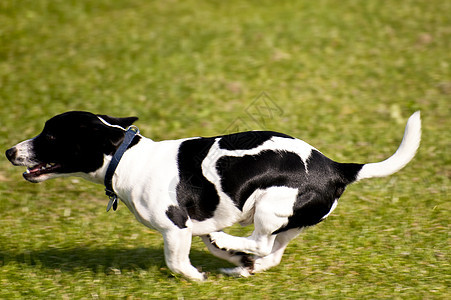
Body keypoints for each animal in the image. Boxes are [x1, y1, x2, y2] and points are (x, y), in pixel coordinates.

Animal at [5, 110, 422, 282]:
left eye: (51, 135)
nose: (9, 151)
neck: (126, 158)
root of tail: (336, 167)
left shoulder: (175, 228)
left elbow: (176, 262)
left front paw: (196, 277)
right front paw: (226, 260)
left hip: (269, 207)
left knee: (259, 242)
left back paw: (230, 245)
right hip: (289, 221)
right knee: (269, 254)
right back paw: (237, 264)